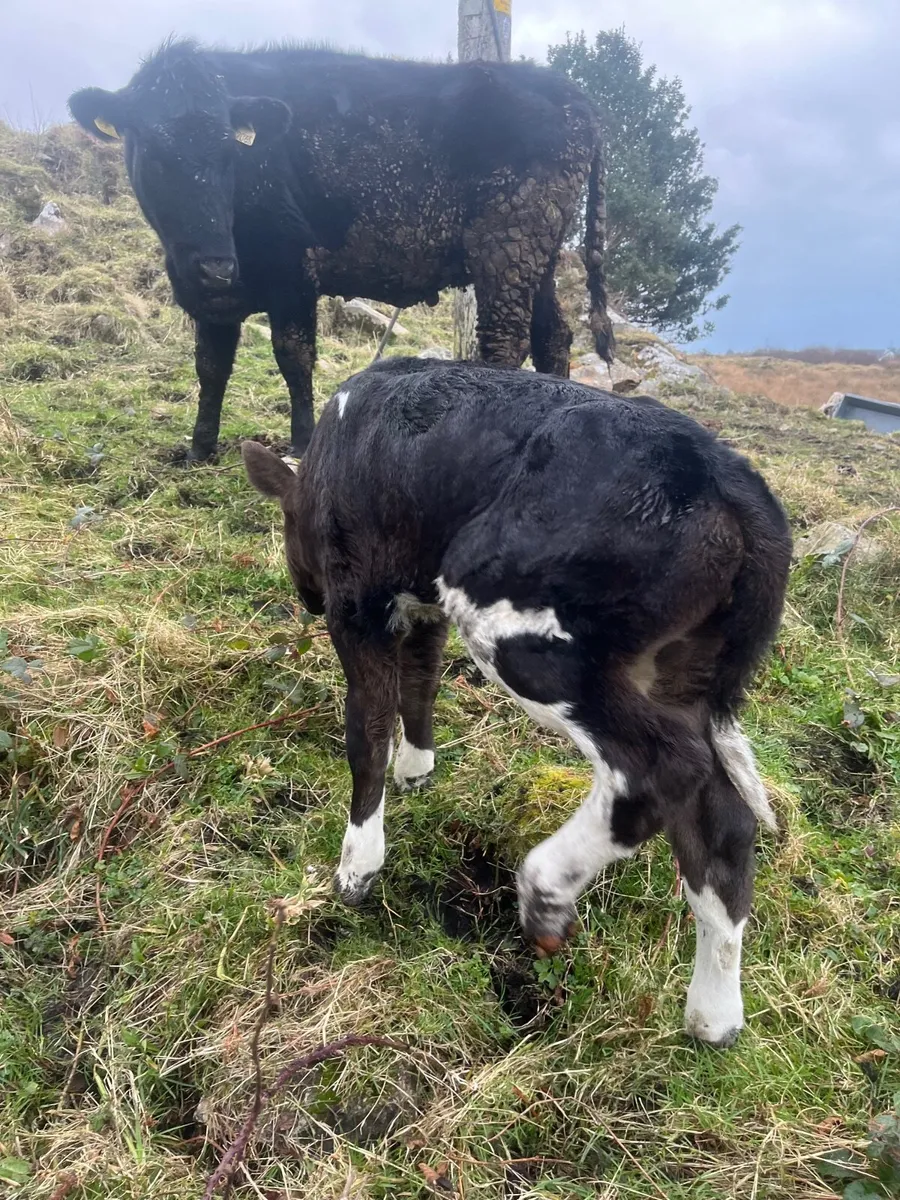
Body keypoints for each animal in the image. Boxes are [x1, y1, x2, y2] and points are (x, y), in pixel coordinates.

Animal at [68, 39, 615, 462]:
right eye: (155, 152)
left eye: (229, 153)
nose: (217, 263)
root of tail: (569, 94)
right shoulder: (208, 291)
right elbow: (211, 364)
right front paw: (199, 448)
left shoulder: (291, 268)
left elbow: (293, 354)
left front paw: (301, 442)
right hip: (539, 252)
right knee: (554, 335)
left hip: (508, 242)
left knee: (506, 340)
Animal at [241, 357, 792, 1048]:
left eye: (286, 523)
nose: (306, 597)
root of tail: (729, 474)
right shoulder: (424, 604)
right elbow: (420, 681)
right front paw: (417, 769)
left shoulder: (359, 602)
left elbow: (366, 729)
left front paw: (357, 866)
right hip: (676, 668)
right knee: (721, 818)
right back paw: (714, 1015)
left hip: (512, 618)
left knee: (664, 765)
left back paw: (546, 891)